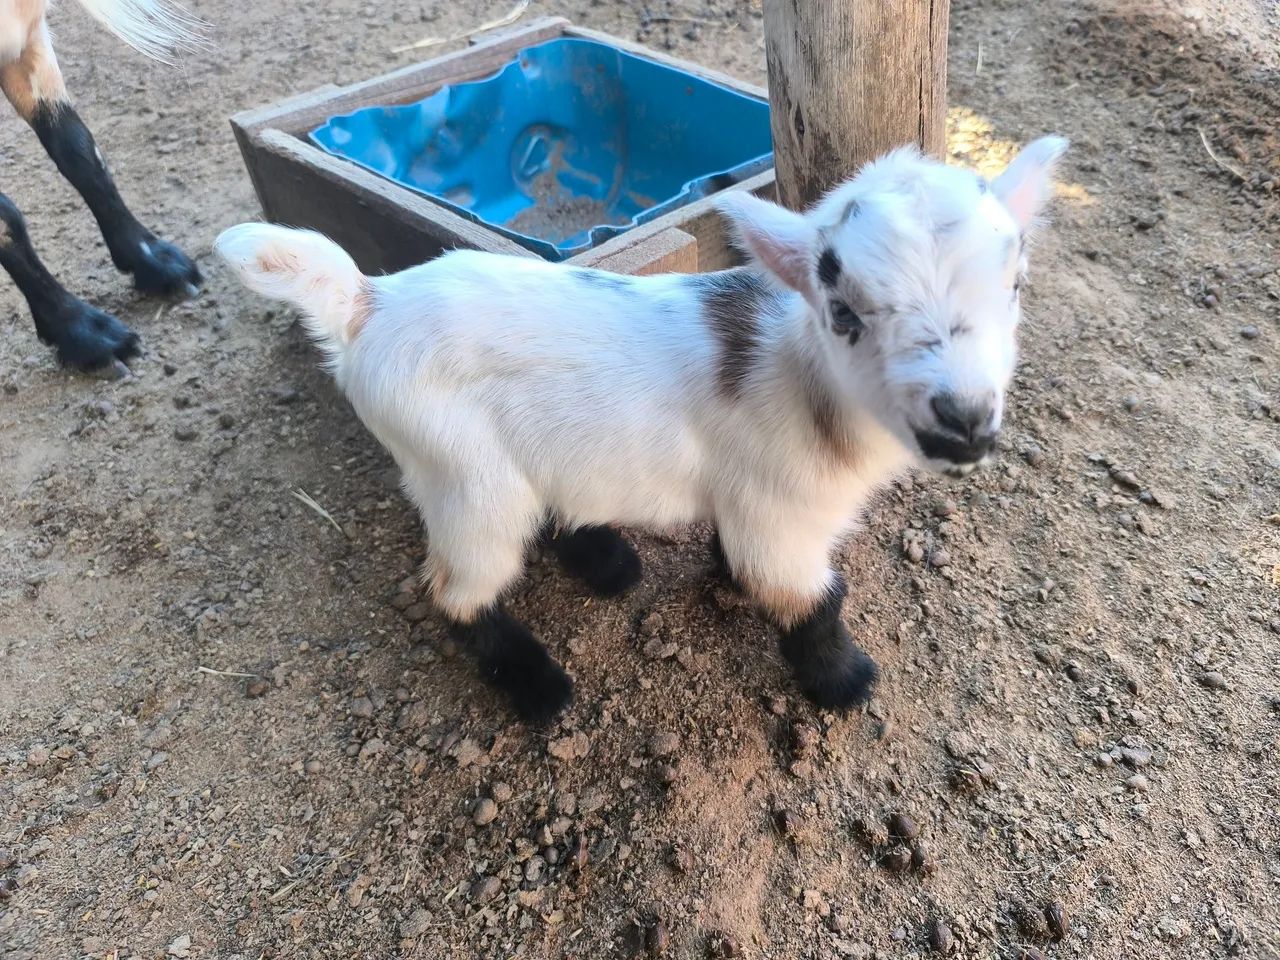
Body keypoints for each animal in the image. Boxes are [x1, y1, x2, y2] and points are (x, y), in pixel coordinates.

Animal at [216, 136, 1067, 724]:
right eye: (844, 311)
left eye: (1017, 286)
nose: (964, 419)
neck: (806, 383)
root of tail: (368, 301)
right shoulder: (781, 520)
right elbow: (816, 599)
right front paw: (845, 683)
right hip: (464, 476)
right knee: (457, 592)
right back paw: (540, 689)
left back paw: (608, 565)